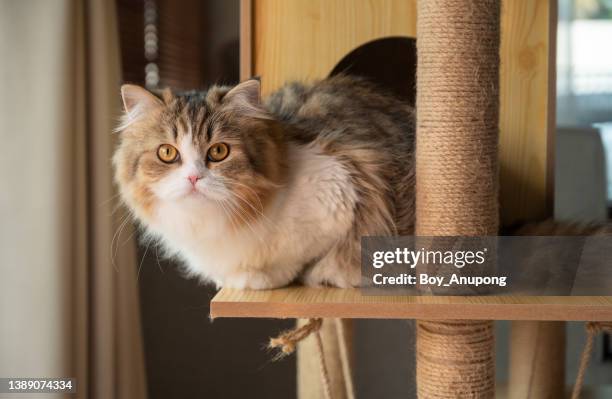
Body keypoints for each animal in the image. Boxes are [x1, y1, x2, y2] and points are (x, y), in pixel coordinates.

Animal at [112, 75, 414, 290]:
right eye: (167, 153)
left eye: (218, 151)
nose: (193, 177)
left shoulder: (340, 191)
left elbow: (297, 259)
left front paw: (257, 278)